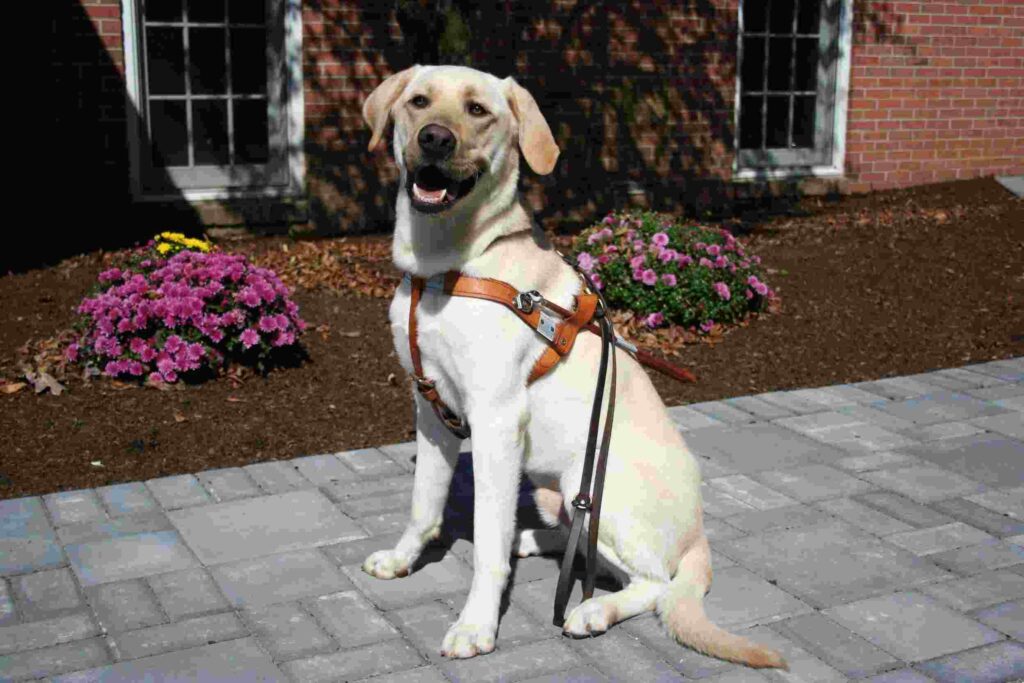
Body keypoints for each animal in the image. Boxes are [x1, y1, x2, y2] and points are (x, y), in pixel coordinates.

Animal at [364, 63, 786, 667]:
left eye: (477, 110)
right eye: (419, 101)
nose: (435, 139)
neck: (446, 266)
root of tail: (700, 534)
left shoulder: (495, 420)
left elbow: (486, 545)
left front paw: (476, 625)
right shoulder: (430, 406)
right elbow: (425, 505)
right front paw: (403, 559)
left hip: (592, 485)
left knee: (653, 582)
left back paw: (593, 611)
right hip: (552, 489)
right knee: (577, 540)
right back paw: (533, 542)